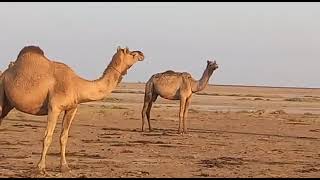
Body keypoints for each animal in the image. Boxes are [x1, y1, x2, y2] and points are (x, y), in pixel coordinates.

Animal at [0, 44, 145, 173]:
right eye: (132, 53)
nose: (141, 54)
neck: (77, 85)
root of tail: (4, 73)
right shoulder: (54, 108)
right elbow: (47, 137)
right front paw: (40, 168)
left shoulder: (72, 108)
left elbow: (64, 137)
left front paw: (64, 167)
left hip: (8, 104)